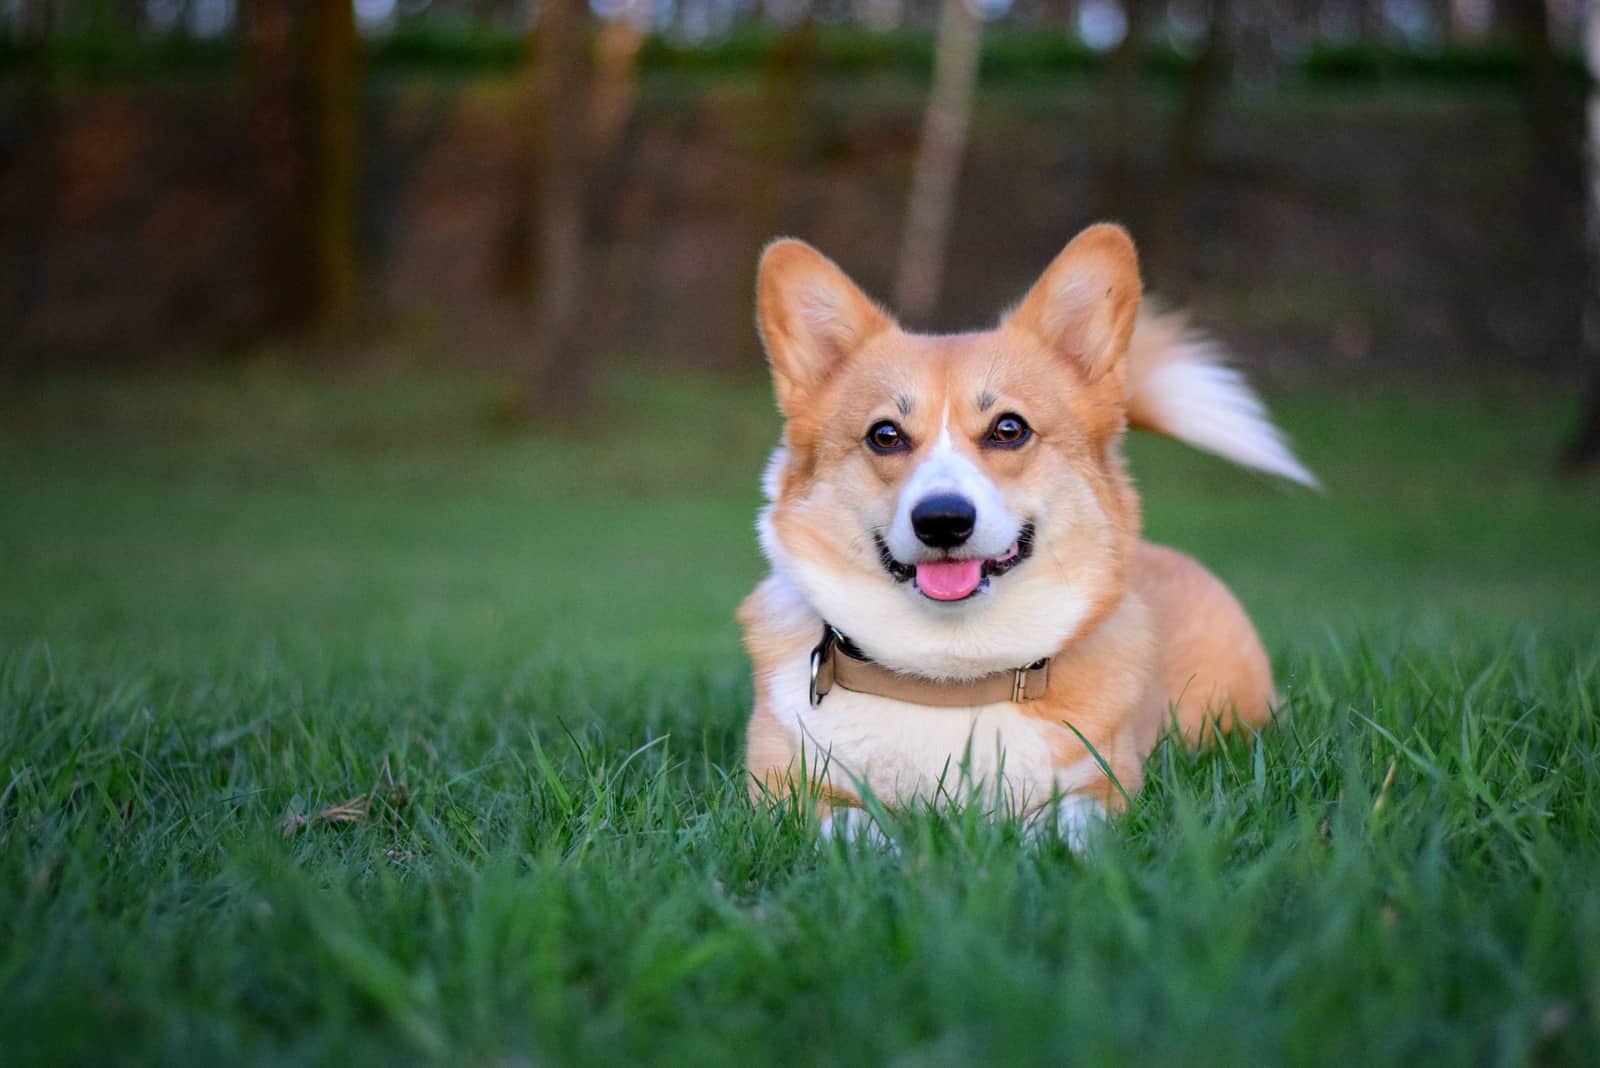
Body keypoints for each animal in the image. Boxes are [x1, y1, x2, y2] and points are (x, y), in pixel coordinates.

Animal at [736, 225, 1312, 844]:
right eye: (884, 435)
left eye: (1009, 429)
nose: (942, 519)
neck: (949, 678)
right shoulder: (782, 791)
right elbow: (854, 829)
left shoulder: (1106, 786)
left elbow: (1067, 827)